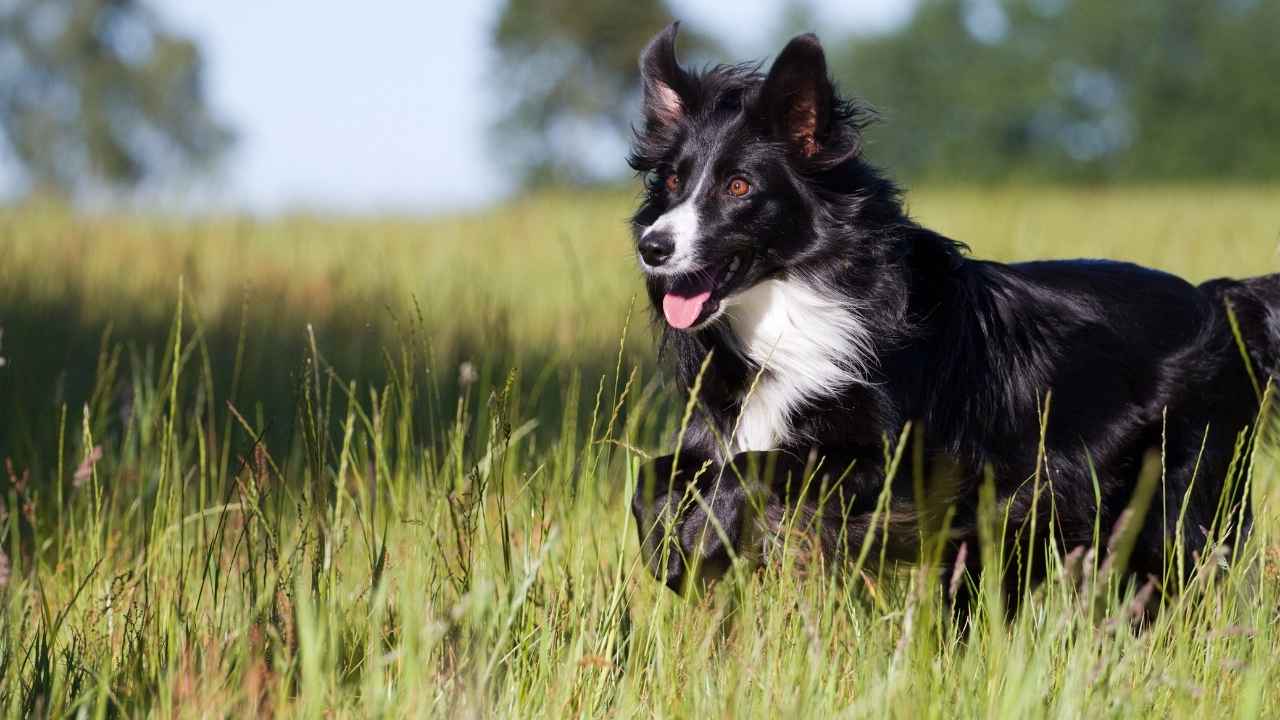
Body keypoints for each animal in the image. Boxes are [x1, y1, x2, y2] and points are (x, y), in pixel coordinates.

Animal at [629, 23, 1280, 604]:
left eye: (739, 186)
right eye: (671, 181)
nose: (652, 249)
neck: (794, 302)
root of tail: (1219, 299)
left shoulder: (902, 465)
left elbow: (758, 464)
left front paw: (700, 544)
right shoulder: (719, 430)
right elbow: (655, 473)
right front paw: (669, 551)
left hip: (1178, 501)